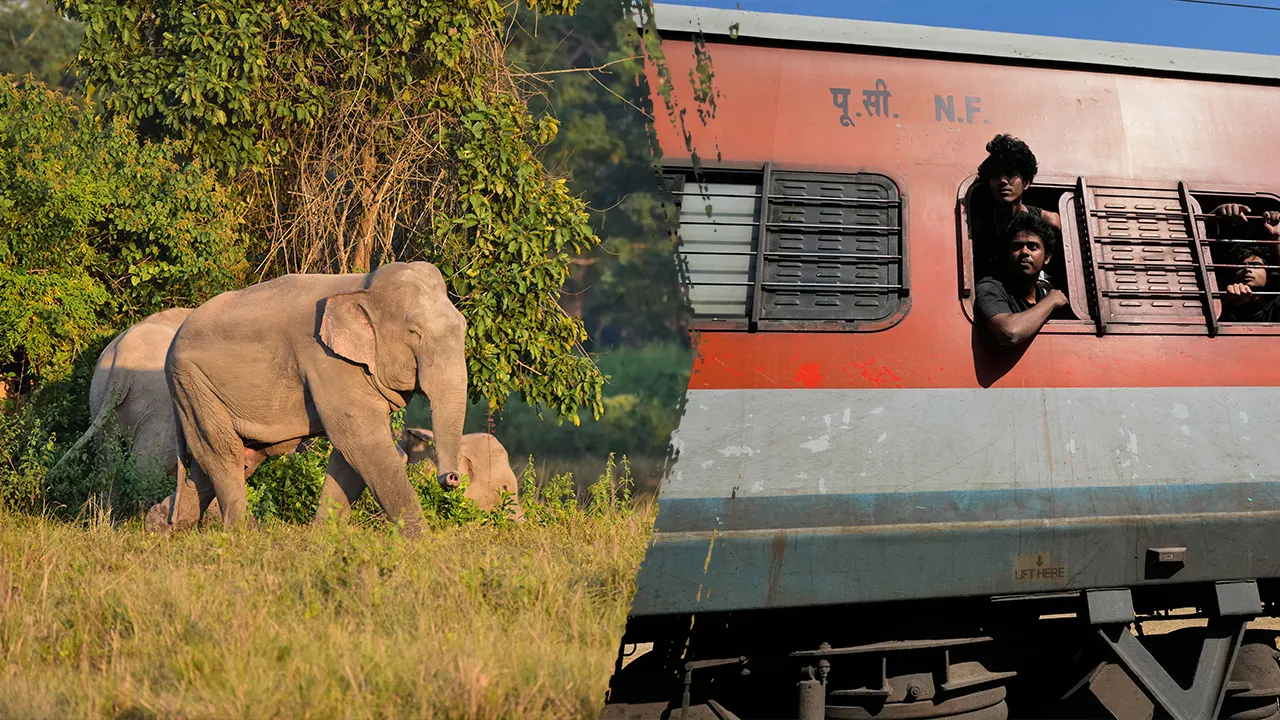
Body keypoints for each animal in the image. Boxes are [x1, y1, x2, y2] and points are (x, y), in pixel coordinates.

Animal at [159, 261, 467, 537]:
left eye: (464, 327)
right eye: (414, 332)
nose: (452, 478)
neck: (362, 287)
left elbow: (349, 455)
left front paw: (322, 536)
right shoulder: (327, 360)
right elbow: (362, 441)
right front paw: (422, 542)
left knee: (211, 466)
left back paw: (173, 531)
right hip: (193, 385)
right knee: (225, 456)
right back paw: (238, 533)